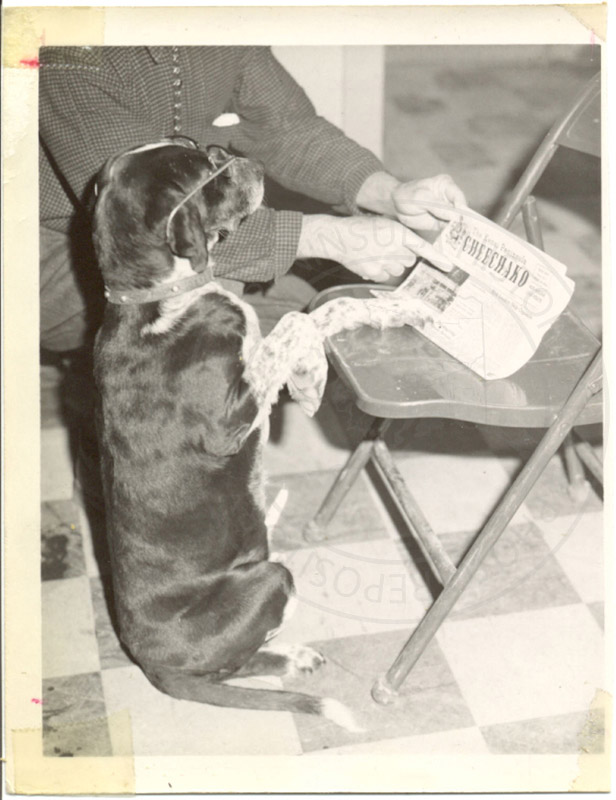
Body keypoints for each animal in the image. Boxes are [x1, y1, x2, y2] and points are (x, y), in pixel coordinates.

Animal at [91, 139, 360, 732]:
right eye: (208, 170)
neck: (154, 298)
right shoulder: (227, 424)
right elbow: (293, 327)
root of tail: (153, 668)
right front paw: (314, 371)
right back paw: (289, 658)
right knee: (233, 666)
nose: (239, 153)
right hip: (273, 577)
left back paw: (294, 658)